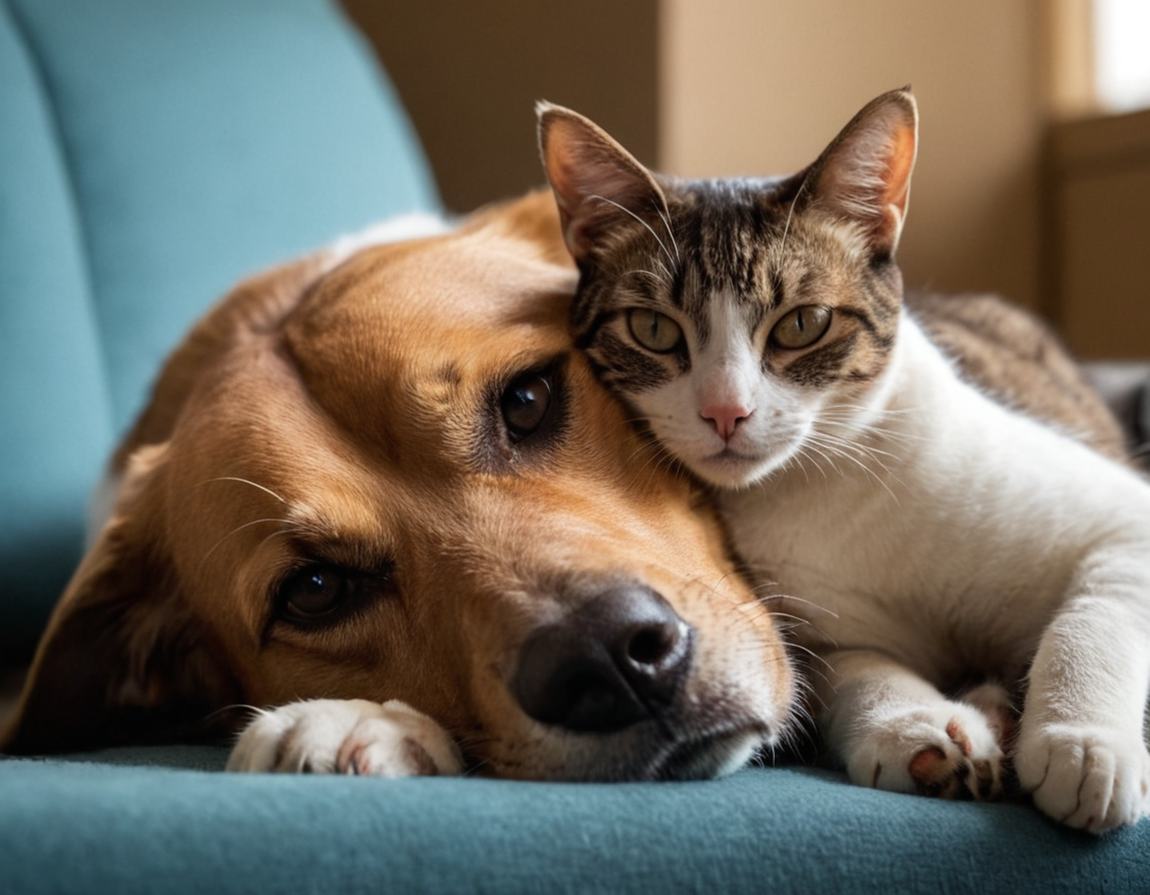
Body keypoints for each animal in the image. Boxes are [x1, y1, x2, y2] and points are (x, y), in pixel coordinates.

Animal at [538, 90, 1150, 828]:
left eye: (803, 323)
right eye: (653, 328)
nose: (725, 412)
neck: (827, 488)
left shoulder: (1124, 519)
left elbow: (1092, 621)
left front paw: (1083, 744)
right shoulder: (817, 630)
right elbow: (855, 670)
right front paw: (913, 727)